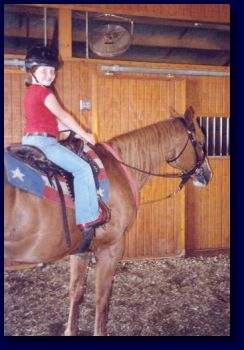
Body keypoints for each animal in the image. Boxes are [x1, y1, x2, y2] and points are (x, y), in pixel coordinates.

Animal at [4, 107, 213, 336]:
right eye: (200, 142)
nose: (207, 174)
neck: (120, 170)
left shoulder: (81, 250)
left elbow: (76, 291)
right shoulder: (110, 249)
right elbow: (102, 298)